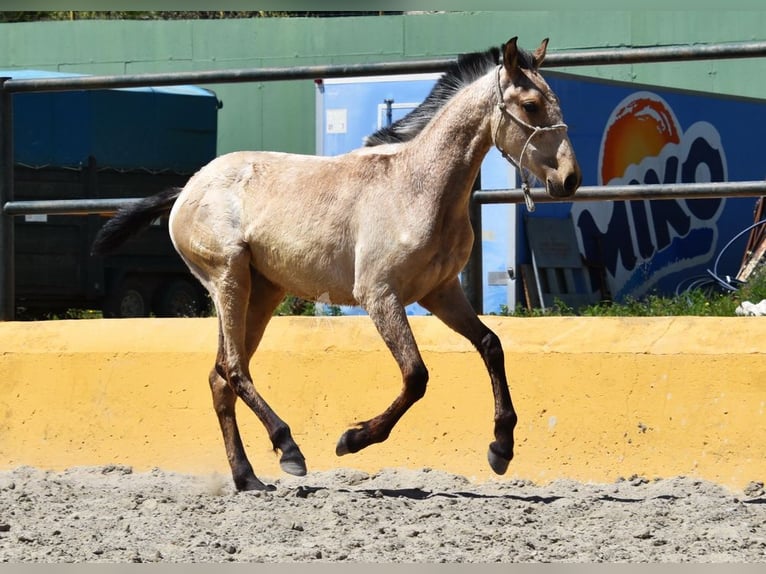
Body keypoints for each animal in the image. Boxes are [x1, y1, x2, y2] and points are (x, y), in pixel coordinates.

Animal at [91, 38, 584, 492]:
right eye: (531, 105)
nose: (570, 179)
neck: (417, 187)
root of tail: (187, 189)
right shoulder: (380, 295)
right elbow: (416, 375)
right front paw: (352, 439)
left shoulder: (441, 292)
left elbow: (490, 345)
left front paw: (501, 449)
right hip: (228, 279)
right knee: (233, 369)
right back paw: (288, 449)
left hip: (262, 291)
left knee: (220, 378)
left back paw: (247, 477)